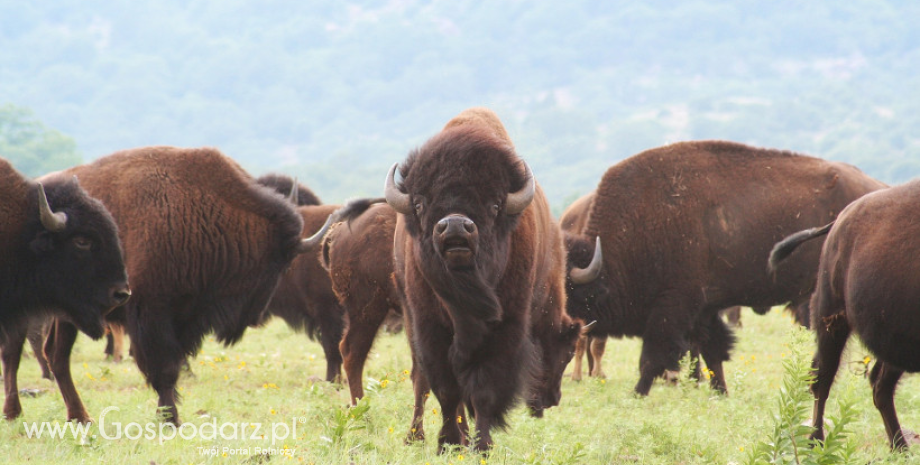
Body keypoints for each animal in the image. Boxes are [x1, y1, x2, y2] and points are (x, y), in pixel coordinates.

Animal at [39, 147, 308, 422]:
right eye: (278, 264)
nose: (256, 317)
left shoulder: (185, 318)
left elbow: (174, 366)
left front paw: (168, 415)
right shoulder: (151, 314)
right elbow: (164, 369)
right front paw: (171, 419)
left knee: (55, 354)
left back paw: (79, 416)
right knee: (58, 355)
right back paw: (79, 416)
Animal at [384, 108, 580, 450]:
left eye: (495, 204)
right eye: (420, 203)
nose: (455, 226)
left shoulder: (504, 328)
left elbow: (483, 390)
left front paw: (481, 445)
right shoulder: (429, 328)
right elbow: (446, 389)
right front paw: (447, 442)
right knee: (422, 380)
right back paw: (418, 436)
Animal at [564, 141, 888, 396]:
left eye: (569, 291)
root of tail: (879, 188)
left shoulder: (672, 306)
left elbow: (654, 356)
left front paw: (638, 392)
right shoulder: (703, 309)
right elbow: (712, 351)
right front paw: (719, 391)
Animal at [768, 180, 920, 450]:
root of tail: (840, 220)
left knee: (879, 385)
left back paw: (899, 447)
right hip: (831, 320)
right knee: (823, 379)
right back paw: (816, 441)